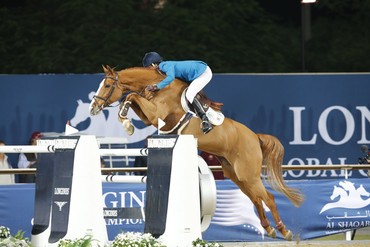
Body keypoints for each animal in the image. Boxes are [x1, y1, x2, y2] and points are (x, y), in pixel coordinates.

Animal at [89, 64, 304, 240]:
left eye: (106, 86)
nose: (93, 108)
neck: (157, 86)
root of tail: (254, 136)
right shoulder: (150, 117)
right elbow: (131, 99)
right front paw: (126, 121)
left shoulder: (157, 114)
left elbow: (131, 96)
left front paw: (126, 123)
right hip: (237, 176)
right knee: (256, 199)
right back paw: (269, 229)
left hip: (248, 174)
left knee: (268, 198)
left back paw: (284, 231)